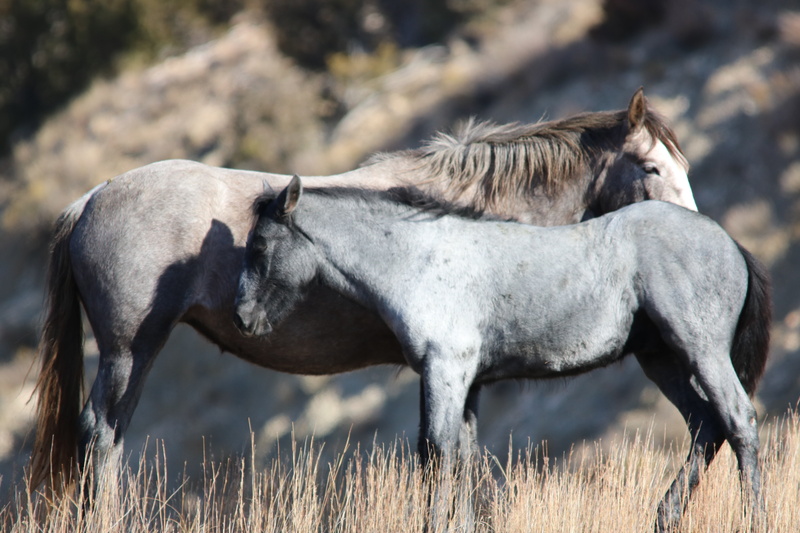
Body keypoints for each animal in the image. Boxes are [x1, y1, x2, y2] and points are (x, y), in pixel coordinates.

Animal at [31, 88, 697, 492]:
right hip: (128, 352)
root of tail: (92, 198)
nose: (694, 233)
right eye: (653, 168)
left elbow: (463, 459)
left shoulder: (467, 376)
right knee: (100, 438)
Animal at [235, 177, 771, 531]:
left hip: (699, 349)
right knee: (705, 426)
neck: (419, 259)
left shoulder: (445, 370)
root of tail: (729, 243)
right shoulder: (467, 381)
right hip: (661, 359)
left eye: (260, 244)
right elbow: (463, 455)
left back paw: (754, 518)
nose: (242, 317)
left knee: (737, 419)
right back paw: (664, 516)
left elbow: (436, 451)